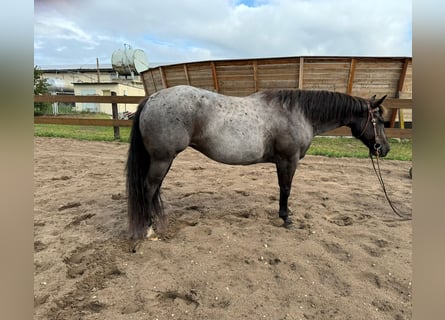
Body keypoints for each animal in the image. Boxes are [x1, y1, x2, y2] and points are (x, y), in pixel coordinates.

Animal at [125, 85, 388, 240]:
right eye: (381, 122)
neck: (298, 113)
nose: (384, 149)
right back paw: (148, 228)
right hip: (162, 158)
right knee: (148, 189)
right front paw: (286, 218)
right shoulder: (288, 161)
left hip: (164, 160)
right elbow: (285, 189)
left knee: (154, 189)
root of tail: (151, 99)